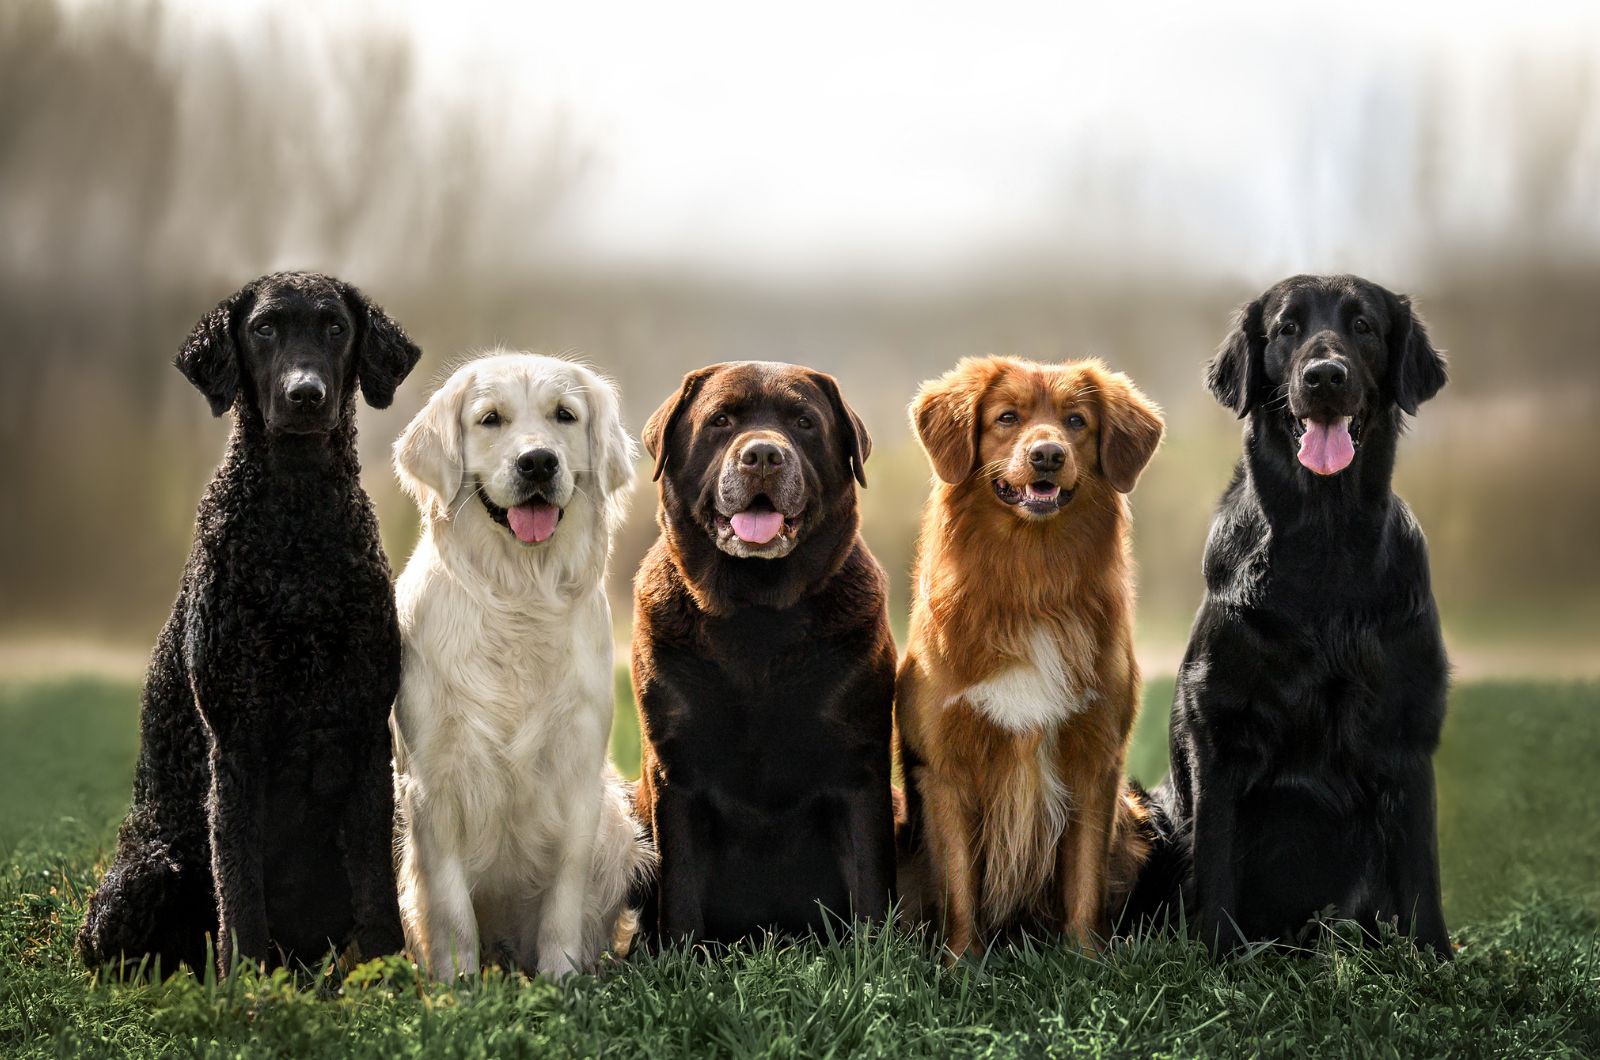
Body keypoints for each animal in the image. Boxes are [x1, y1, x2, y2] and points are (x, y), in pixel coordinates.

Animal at [77, 272, 422, 979]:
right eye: (263, 329)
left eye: (335, 327)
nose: (305, 395)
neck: (296, 530)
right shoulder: (236, 740)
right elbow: (237, 881)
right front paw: (246, 982)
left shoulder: (364, 729)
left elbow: (375, 885)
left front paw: (389, 977)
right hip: (147, 872)